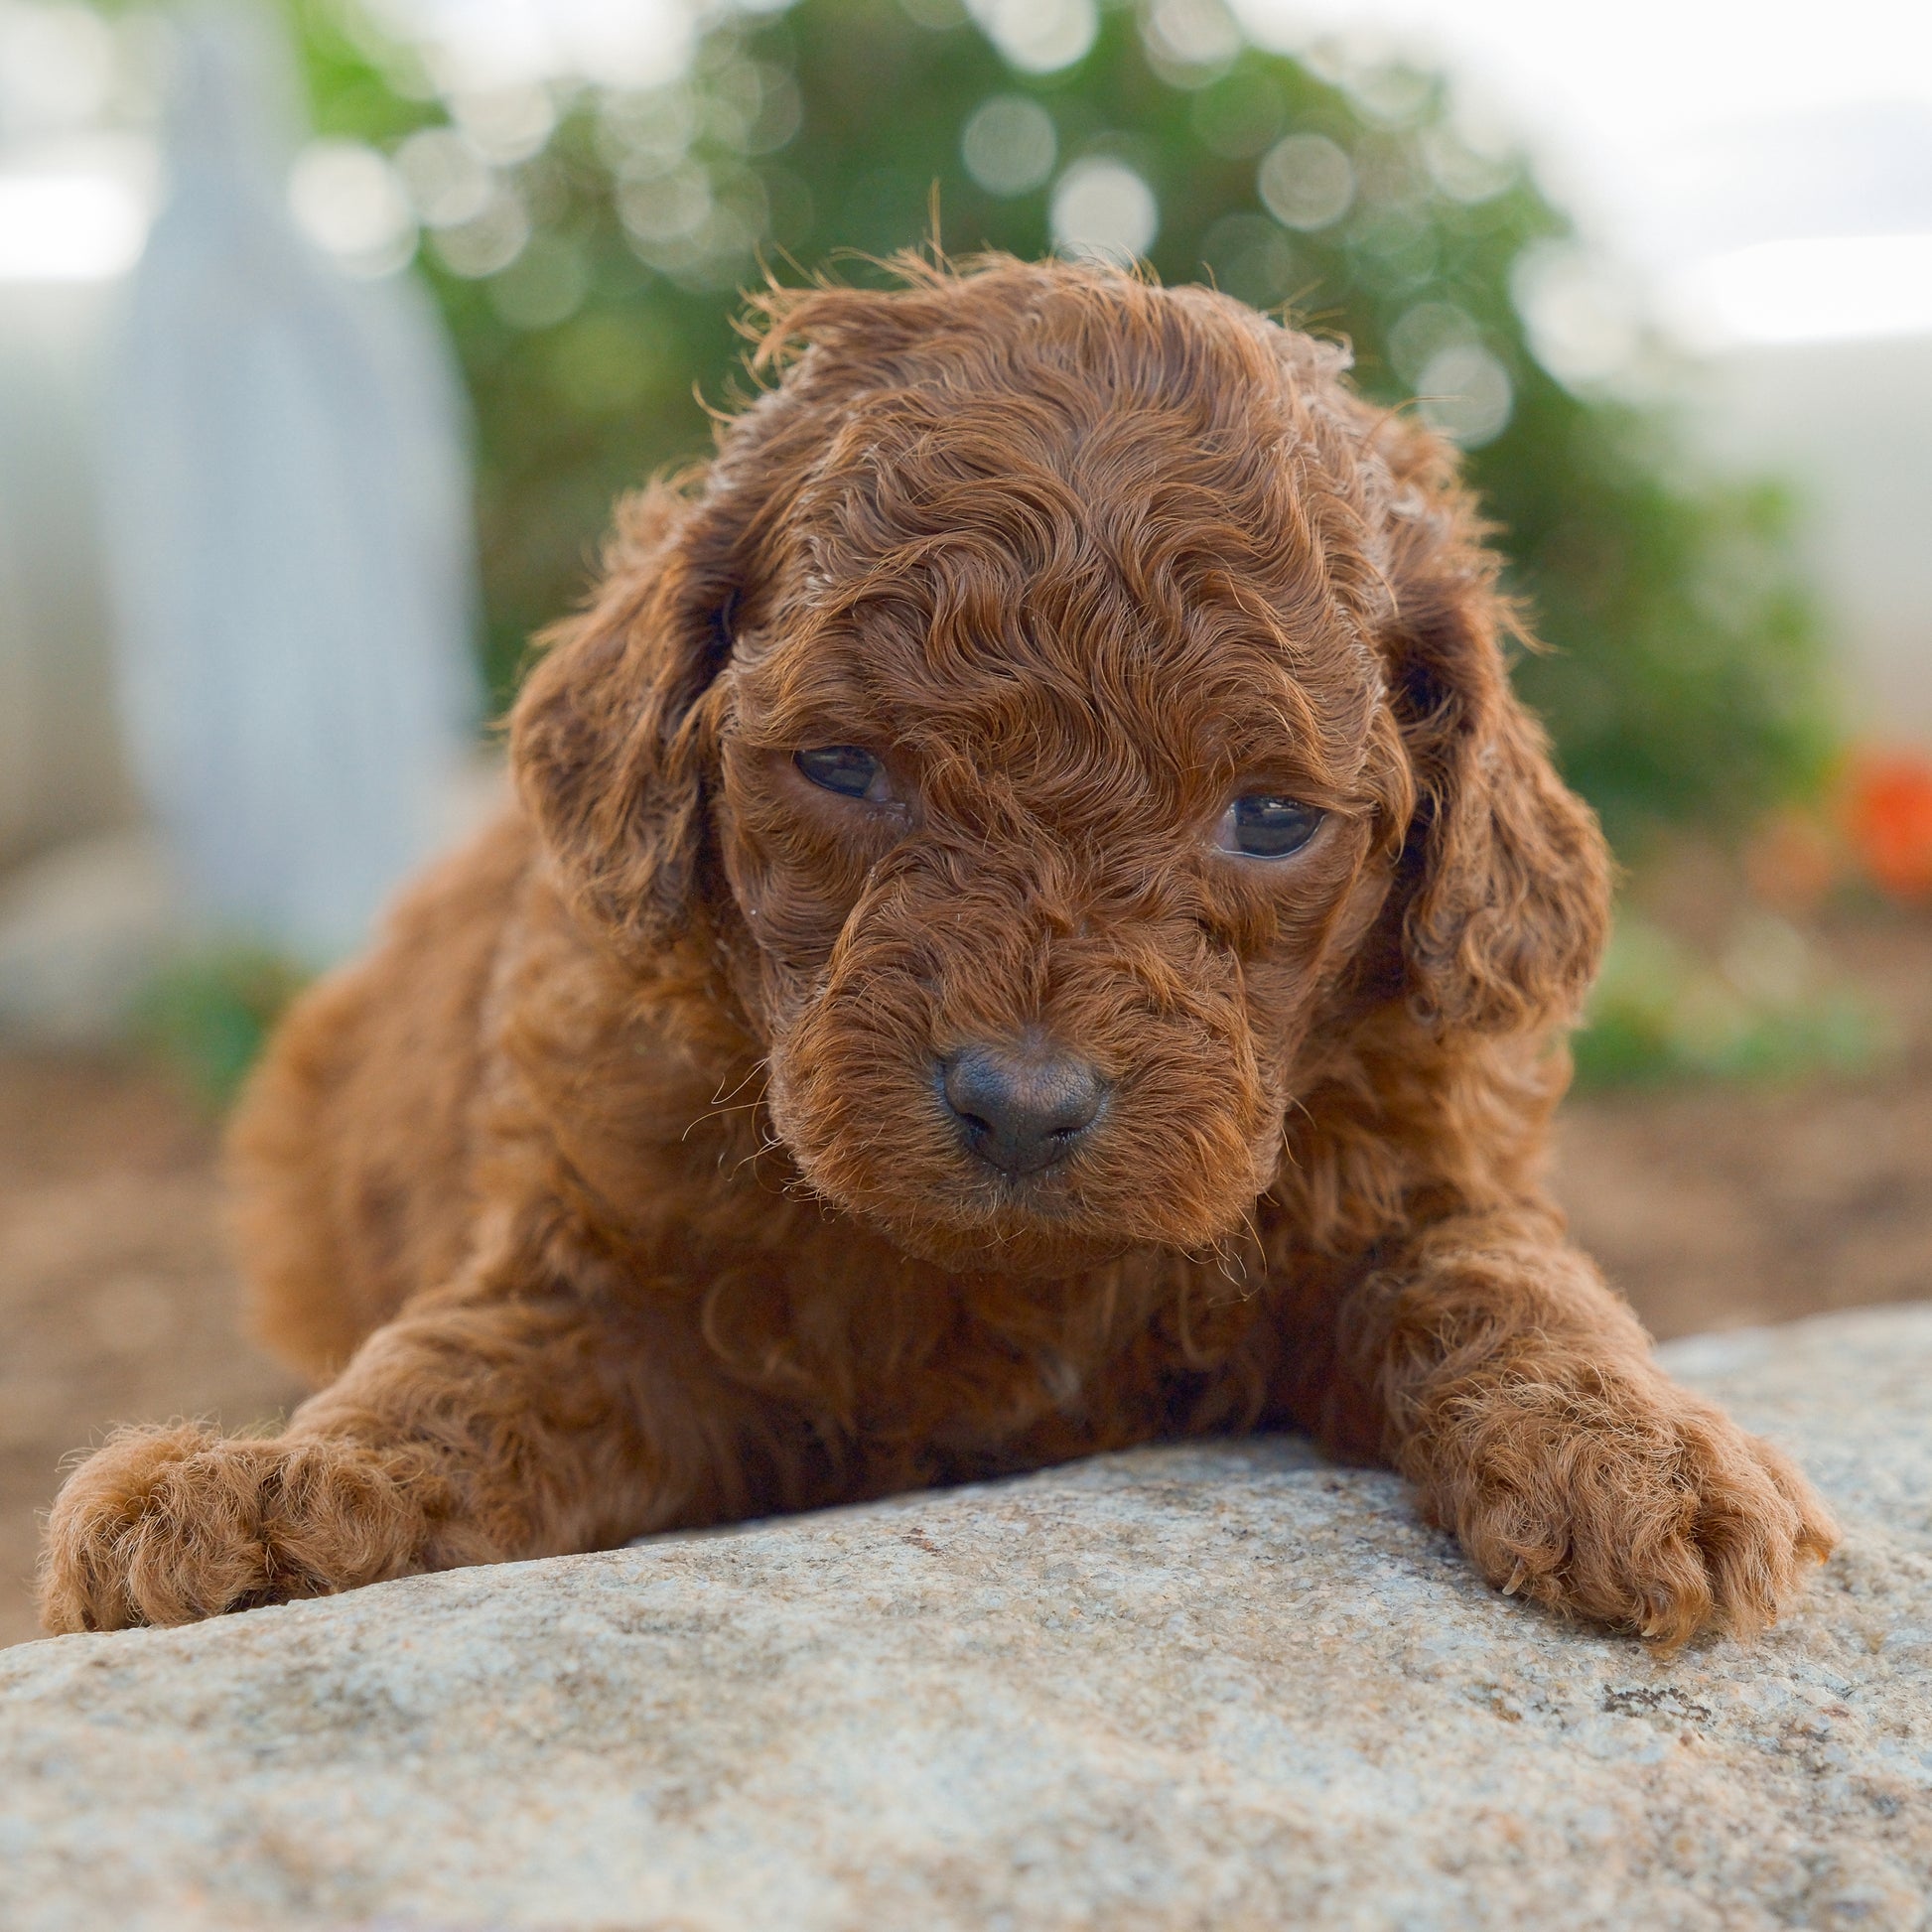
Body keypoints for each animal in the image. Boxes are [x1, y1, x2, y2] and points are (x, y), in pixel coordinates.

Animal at [37, 256, 1831, 1645]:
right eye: (843, 768)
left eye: (1266, 817)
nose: (1021, 1107)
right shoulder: (600, 1278)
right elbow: (457, 1378)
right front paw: (266, 1490)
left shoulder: (1419, 1163)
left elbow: (1499, 1277)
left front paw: (1643, 1455)